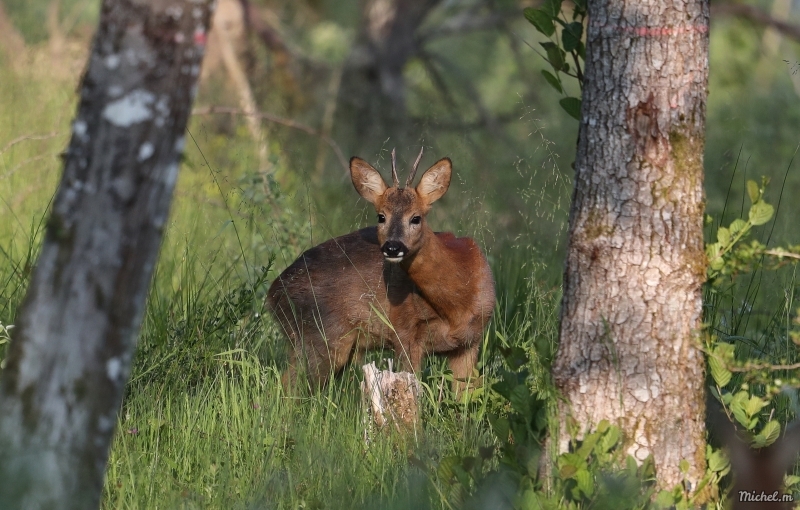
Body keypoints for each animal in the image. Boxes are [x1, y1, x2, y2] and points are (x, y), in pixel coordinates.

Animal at [268, 148, 494, 390]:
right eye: (381, 216)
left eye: (416, 218)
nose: (392, 246)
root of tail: (273, 292)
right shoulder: (405, 333)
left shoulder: (470, 342)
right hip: (320, 335)